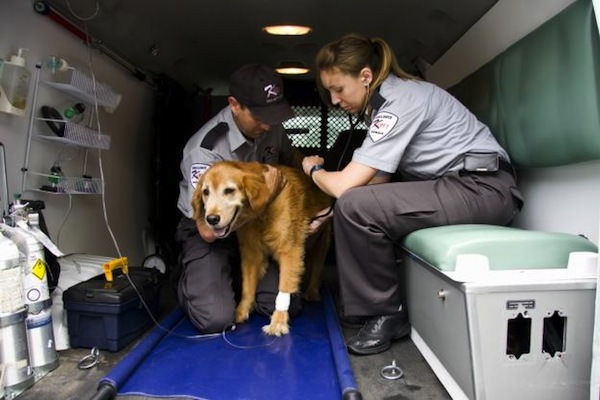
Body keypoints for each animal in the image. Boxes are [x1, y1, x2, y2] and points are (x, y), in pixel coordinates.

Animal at [192, 161, 332, 336]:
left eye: (229, 190)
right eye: (206, 192)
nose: (211, 219)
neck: (260, 214)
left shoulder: (289, 250)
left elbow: (284, 286)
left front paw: (278, 322)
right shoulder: (251, 253)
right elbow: (247, 287)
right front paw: (241, 311)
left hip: (322, 240)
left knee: (317, 267)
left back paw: (312, 291)